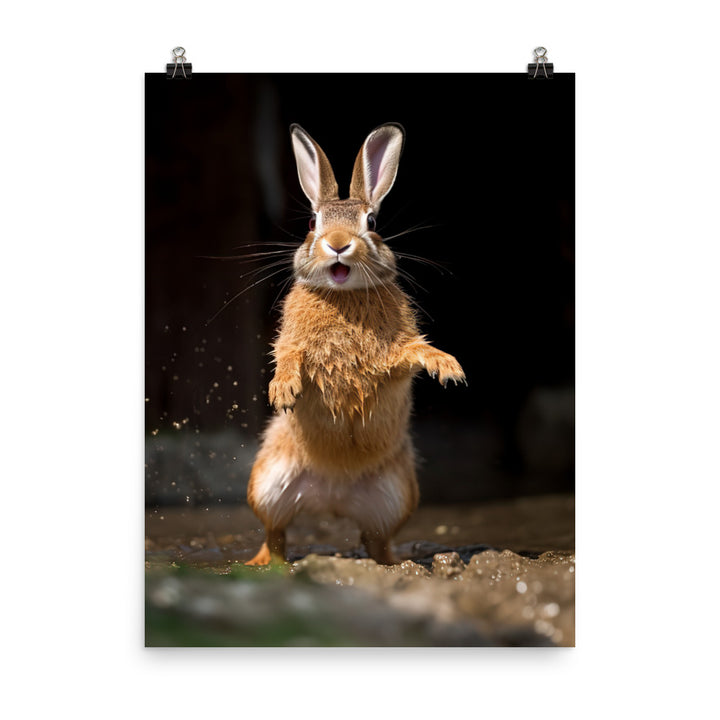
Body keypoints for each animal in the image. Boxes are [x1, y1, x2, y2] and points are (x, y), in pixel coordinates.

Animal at [245, 122, 466, 566]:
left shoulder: (392, 358)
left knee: (375, 540)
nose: (338, 243)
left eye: (372, 220)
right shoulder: (291, 342)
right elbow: (289, 355)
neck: (342, 294)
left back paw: (394, 565)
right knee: (275, 534)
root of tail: (332, 496)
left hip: (396, 495)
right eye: (312, 222)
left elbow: (410, 352)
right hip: (267, 483)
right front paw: (284, 390)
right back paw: (261, 563)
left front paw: (446, 366)